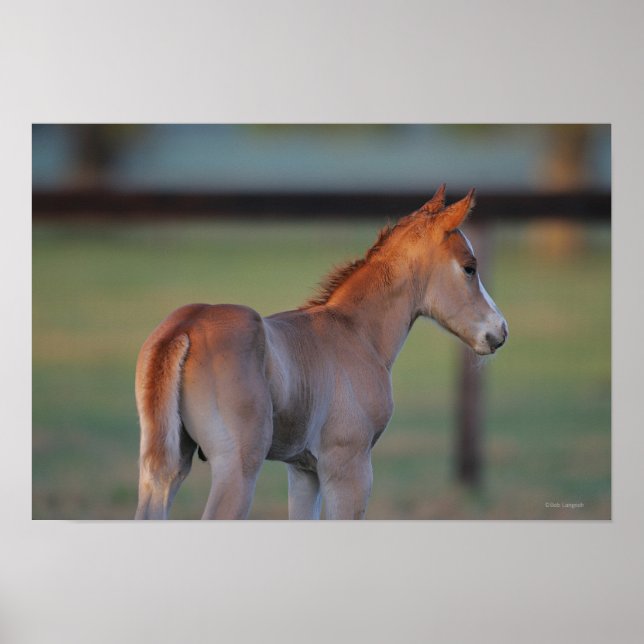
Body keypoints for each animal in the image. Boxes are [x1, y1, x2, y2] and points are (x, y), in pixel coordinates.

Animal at [134, 185, 508, 520]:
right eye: (469, 267)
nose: (500, 331)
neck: (356, 333)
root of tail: (185, 328)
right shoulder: (348, 466)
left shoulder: (303, 471)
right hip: (237, 466)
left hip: (166, 465)